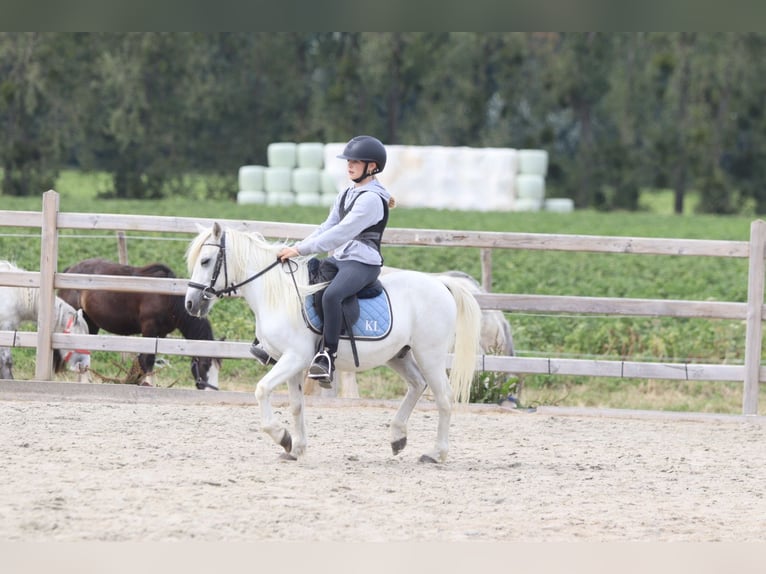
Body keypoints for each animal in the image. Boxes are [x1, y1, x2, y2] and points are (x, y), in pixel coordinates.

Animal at [58, 258, 221, 390]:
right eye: (205, 365)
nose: (210, 390)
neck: (168, 298)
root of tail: (70, 269)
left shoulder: (160, 334)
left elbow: (151, 360)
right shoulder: (149, 329)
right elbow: (147, 360)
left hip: (90, 323)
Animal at [184, 222, 483, 463]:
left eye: (206, 261)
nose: (190, 304)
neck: (278, 294)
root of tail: (441, 284)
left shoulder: (295, 358)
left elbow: (261, 390)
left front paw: (281, 436)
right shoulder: (290, 362)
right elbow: (296, 405)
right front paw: (296, 448)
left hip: (429, 355)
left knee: (443, 397)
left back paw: (436, 453)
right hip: (399, 354)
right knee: (417, 384)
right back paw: (398, 437)